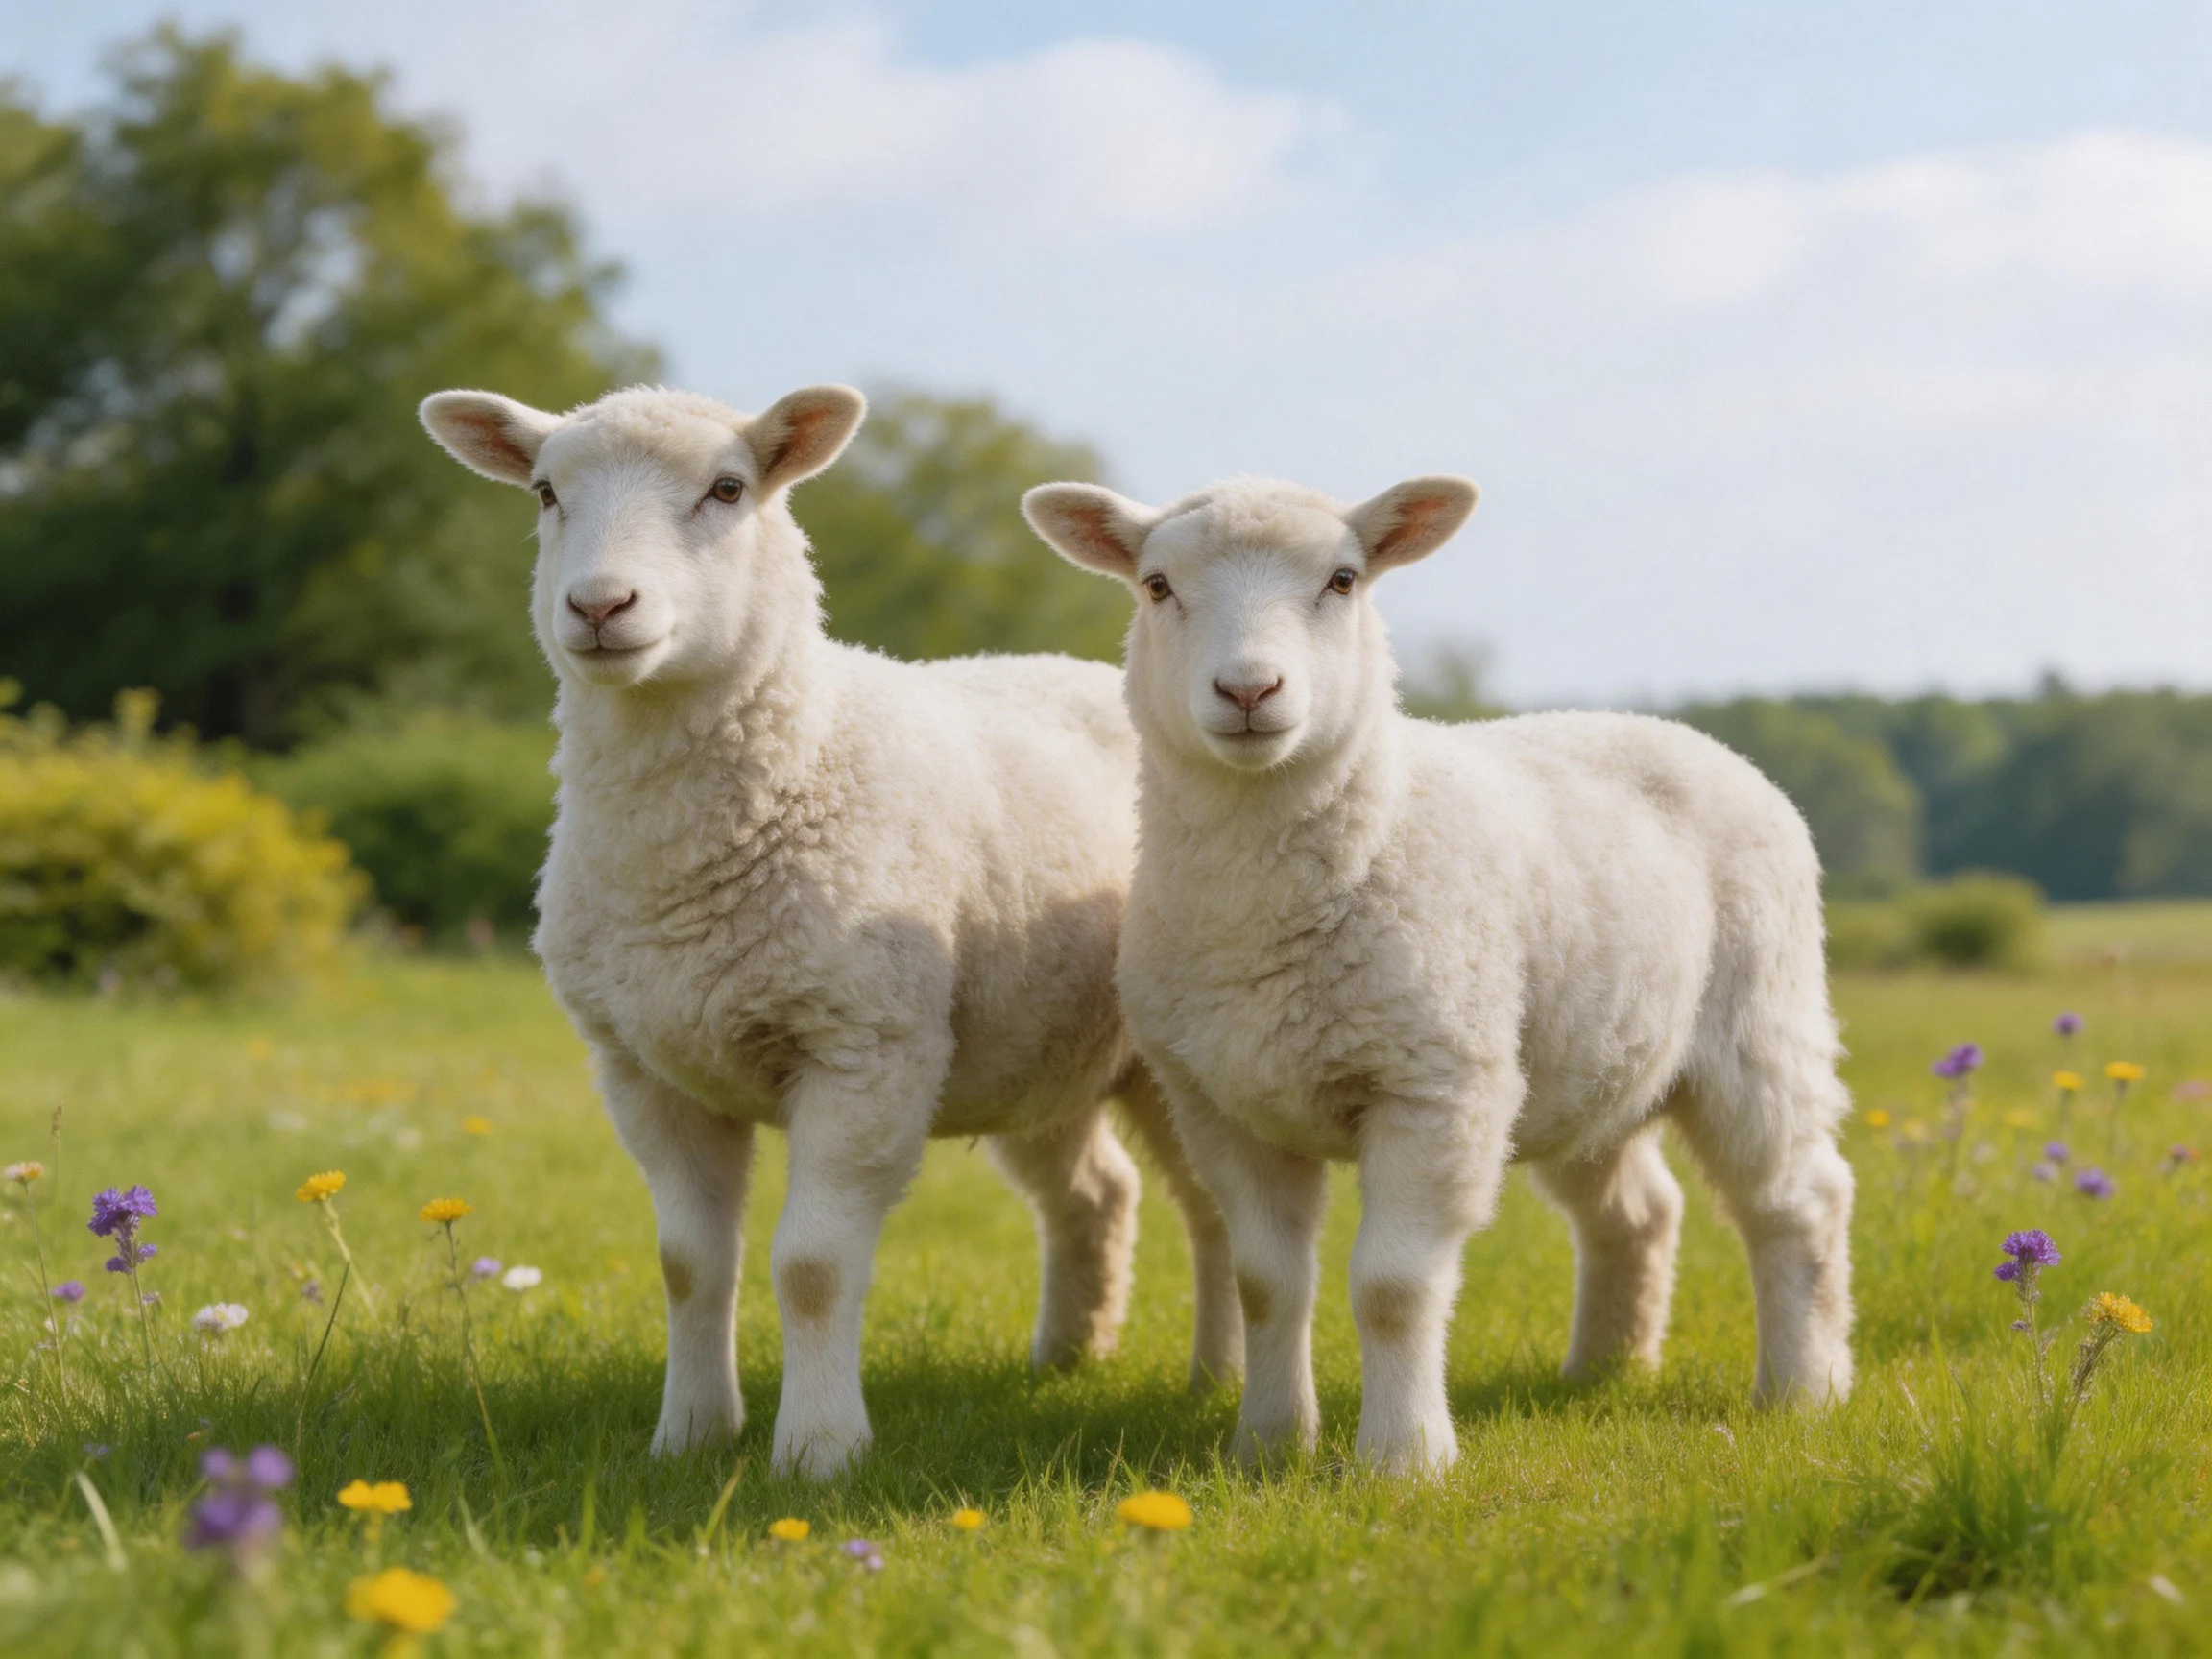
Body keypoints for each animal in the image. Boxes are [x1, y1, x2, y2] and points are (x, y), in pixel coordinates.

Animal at [417, 384, 1240, 1479]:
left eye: (728, 489)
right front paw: (688, 1437)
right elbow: (688, 1264)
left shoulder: (865, 1045)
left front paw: (818, 1451)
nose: (597, 607)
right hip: (1034, 1046)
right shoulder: (641, 1068)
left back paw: (1218, 1376)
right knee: (1096, 1195)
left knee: (1213, 1208)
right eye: (547, 491)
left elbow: (810, 1265)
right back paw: (1067, 1358)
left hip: (1169, 1055)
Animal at [1024, 472, 1855, 1475]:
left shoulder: (1435, 1087)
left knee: (1797, 1201)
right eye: (1156, 586)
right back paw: (1604, 1370)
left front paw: (1404, 1460)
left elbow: (1392, 1286)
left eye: (1343, 580)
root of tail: (1680, 732)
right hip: (1582, 1063)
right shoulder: (1222, 1106)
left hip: (1759, 1023)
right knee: (1637, 1212)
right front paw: (1267, 1446)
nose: (1250, 688)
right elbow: (1265, 1283)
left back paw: (1804, 1391)